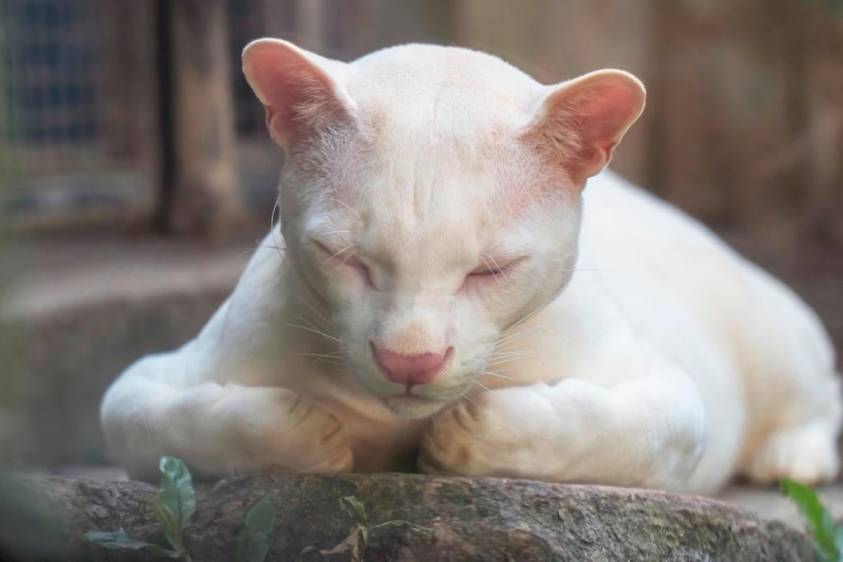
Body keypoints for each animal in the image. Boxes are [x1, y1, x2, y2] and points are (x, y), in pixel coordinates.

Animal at [100, 38, 843, 490]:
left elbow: (615, 430)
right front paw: (306, 435)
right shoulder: (151, 378)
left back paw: (793, 455)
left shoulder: (668, 389)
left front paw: (467, 435)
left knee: (817, 390)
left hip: (771, 333)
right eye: (346, 259)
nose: (409, 361)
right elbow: (161, 424)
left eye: (490, 270)